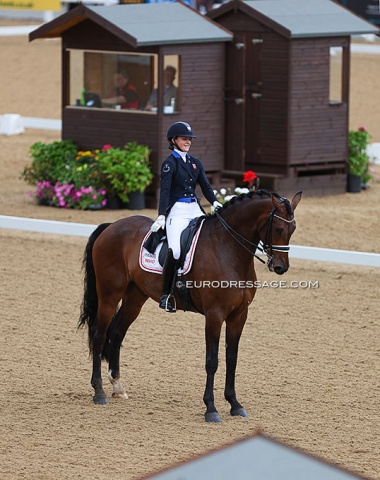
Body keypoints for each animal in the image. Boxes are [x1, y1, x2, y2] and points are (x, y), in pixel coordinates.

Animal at [78, 189, 302, 422]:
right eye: (278, 228)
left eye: (293, 229)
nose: (281, 267)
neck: (228, 249)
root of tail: (111, 226)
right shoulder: (214, 315)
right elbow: (212, 361)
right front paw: (211, 408)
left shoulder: (239, 315)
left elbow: (232, 358)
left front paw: (235, 404)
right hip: (109, 295)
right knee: (99, 334)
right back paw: (99, 392)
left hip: (135, 296)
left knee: (117, 332)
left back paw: (117, 386)